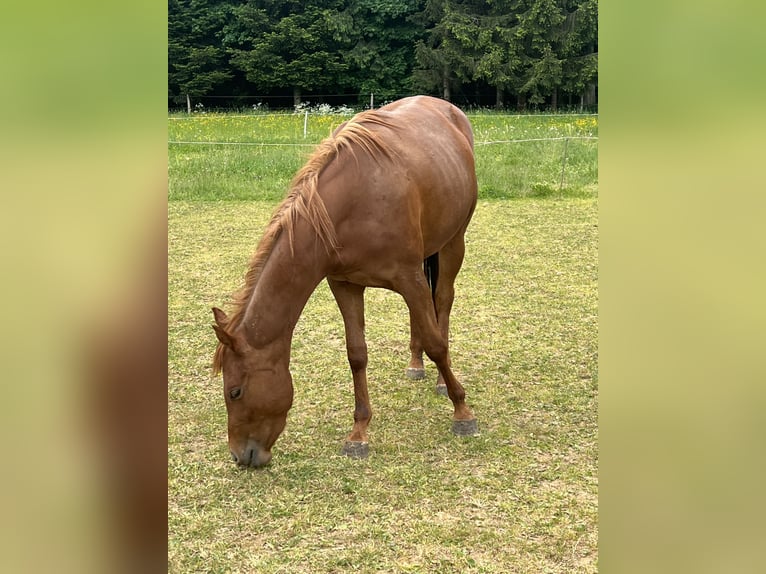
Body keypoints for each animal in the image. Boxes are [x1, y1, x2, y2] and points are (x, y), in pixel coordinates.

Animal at [212, 95, 479, 468]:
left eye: (235, 391)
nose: (240, 456)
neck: (352, 205)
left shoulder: (408, 277)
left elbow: (437, 343)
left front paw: (462, 411)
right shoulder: (344, 284)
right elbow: (357, 354)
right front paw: (358, 433)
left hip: (453, 242)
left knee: (442, 301)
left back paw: (442, 380)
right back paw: (415, 363)